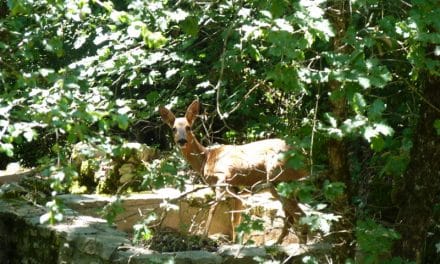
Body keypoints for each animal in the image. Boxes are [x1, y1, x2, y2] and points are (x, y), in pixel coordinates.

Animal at [160, 99, 308, 243]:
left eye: (188, 127)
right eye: (173, 129)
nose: (182, 140)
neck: (206, 159)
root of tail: (303, 160)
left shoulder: (223, 178)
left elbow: (213, 208)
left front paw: (203, 237)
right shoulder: (235, 189)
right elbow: (235, 219)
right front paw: (235, 242)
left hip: (279, 179)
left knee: (299, 216)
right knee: (291, 217)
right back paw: (281, 243)